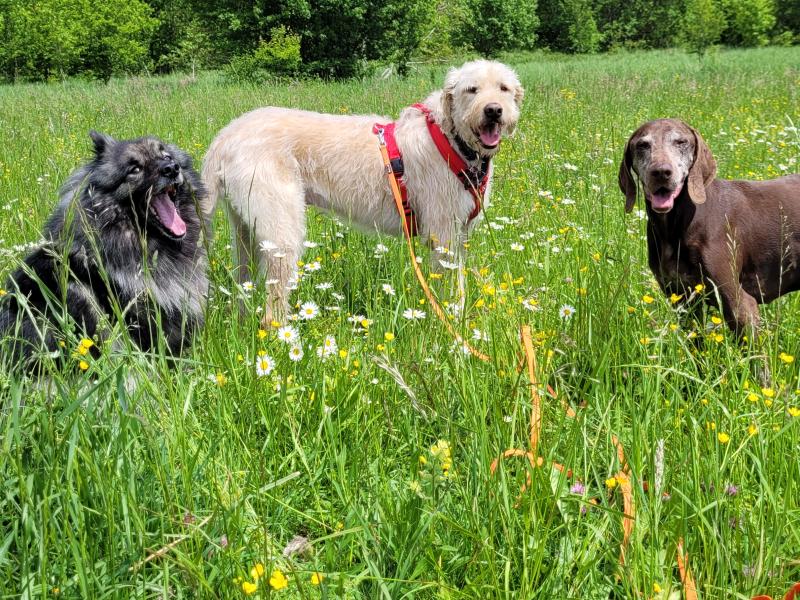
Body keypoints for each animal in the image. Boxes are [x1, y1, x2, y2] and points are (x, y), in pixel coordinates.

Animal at [203, 60, 520, 322]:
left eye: (503, 87)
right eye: (471, 89)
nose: (494, 110)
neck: (450, 138)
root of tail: (226, 135)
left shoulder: (460, 235)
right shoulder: (443, 236)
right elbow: (449, 291)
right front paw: (450, 330)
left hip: (245, 229)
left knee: (243, 282)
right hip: (281, 230)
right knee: (272, 310)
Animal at [620, 116, 800, 332]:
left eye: (681, 142)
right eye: (642, 145)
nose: (661, 172)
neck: (674, 226)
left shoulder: (741, 304)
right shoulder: (683, 301)